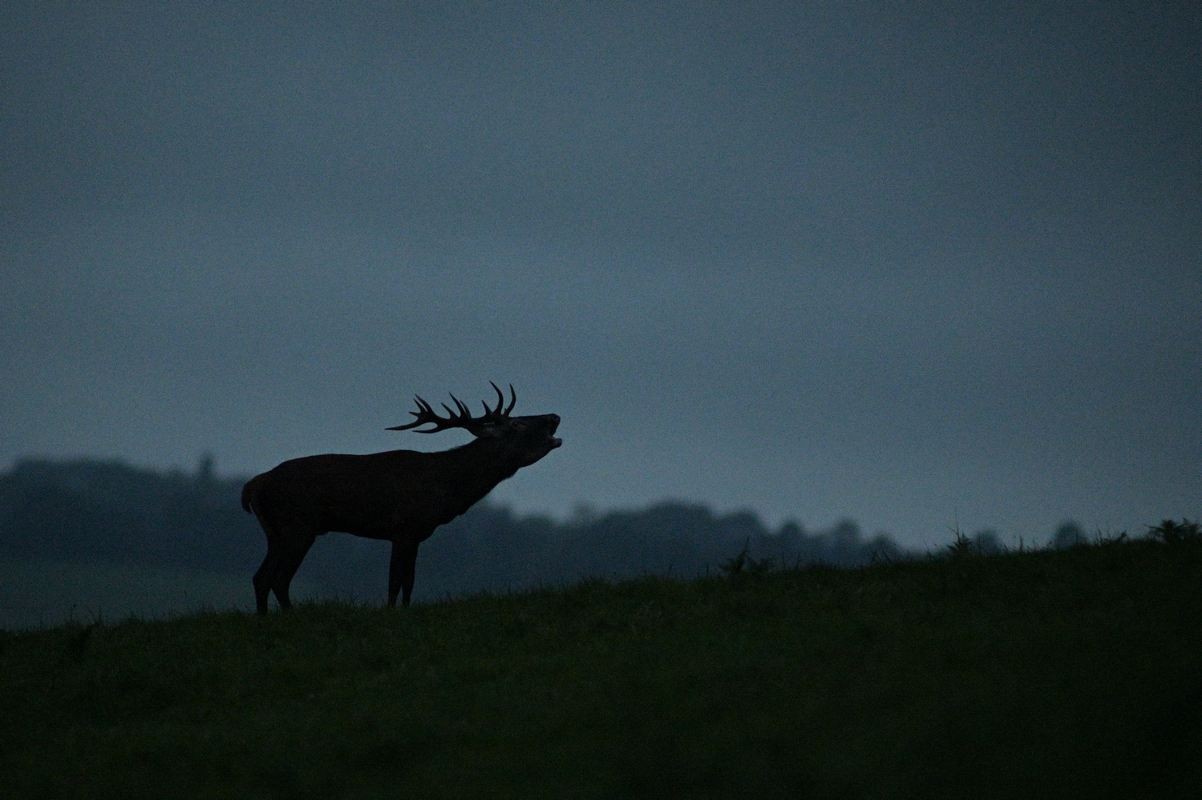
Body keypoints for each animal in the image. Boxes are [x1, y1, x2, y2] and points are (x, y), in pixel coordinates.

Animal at [246, 384, 564, 612]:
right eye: (517, 425)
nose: (554, 416)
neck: (447, 488)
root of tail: (253, 486)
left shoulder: (416, 533)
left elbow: (409, 582)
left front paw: (405, 610)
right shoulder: (403, 528)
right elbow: (395, 582)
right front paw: (390, 612)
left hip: (276, 532)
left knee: (261, 577)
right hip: (297, 526)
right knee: (278, 579)